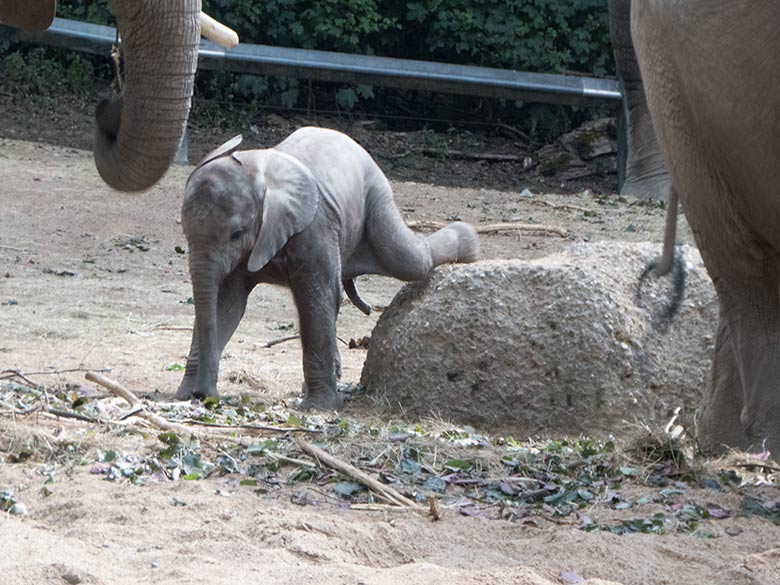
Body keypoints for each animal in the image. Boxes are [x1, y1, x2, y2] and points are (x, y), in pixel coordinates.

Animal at [176, 128, 478, 410]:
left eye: (236, 234)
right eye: (185, 232)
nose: (203, 395)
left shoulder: (315, 228)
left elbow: (316, 299)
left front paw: (318, 408)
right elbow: (226, 306)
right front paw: (185, 395)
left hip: (376, 195)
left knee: (408, 260)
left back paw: (470, 246)